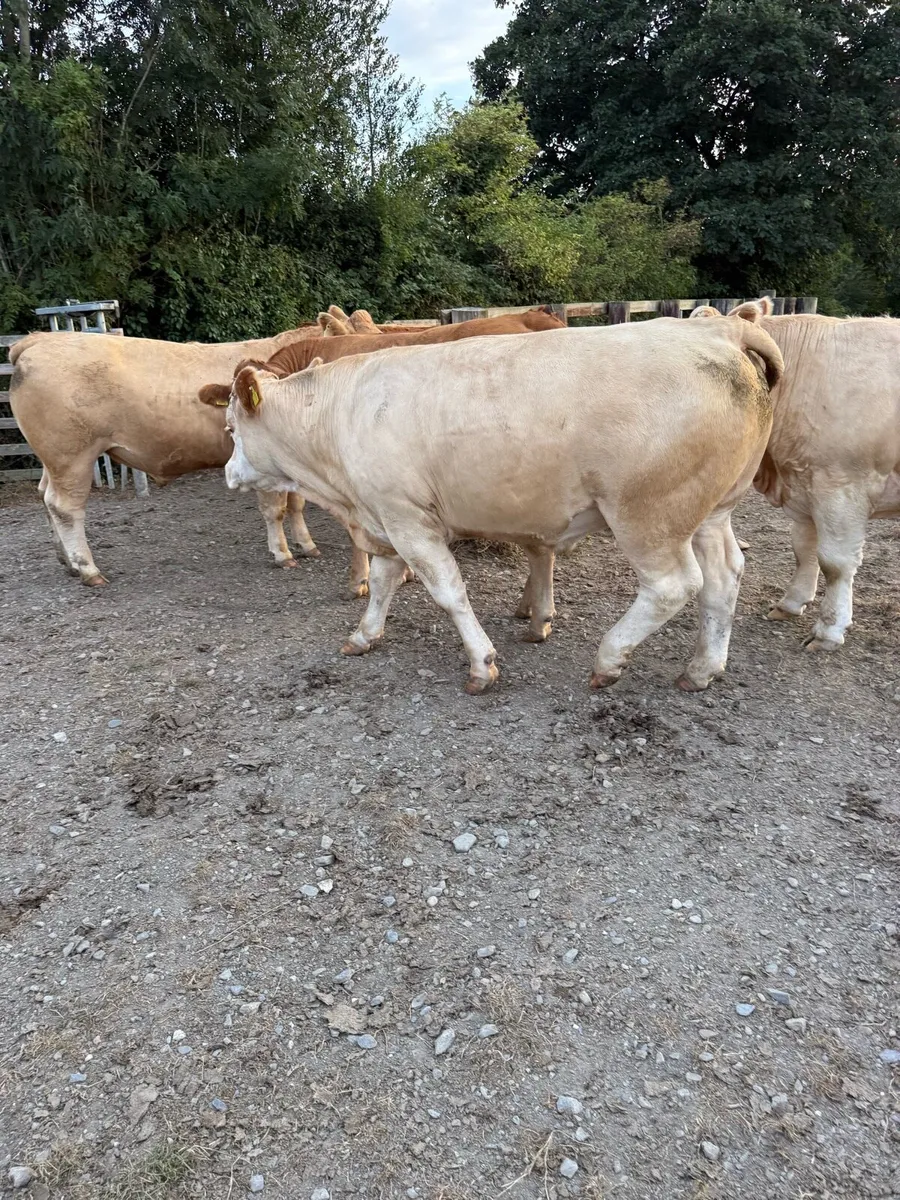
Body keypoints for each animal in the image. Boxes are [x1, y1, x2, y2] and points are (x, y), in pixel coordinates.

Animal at [8, 324, 336, 587]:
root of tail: (39, 340)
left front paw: (307, 544)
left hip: (53, 460)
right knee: (65, 507)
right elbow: (275, 509)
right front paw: (282, 553)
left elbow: (296, 503)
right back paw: (88, 569)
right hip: (72, 457)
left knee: (44, 495)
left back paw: (67, 562)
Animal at [216, 317, 782, 693]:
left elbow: (448, 592)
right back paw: (702, 668)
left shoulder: (408, 518)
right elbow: (381, 583)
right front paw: (363, 635)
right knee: (724, 575)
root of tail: (721, 330)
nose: (227, 473)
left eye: (231, 428)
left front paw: (481, 663)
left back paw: (609, 657)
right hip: (712, 509)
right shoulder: (386, 518)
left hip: (647, 513)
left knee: (673, 585)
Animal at [690, 299, 900, 651]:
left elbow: (835, 562)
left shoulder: (842, 486)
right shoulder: (806, 485)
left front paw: (829, 630)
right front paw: (791, 603)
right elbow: (803, 549)